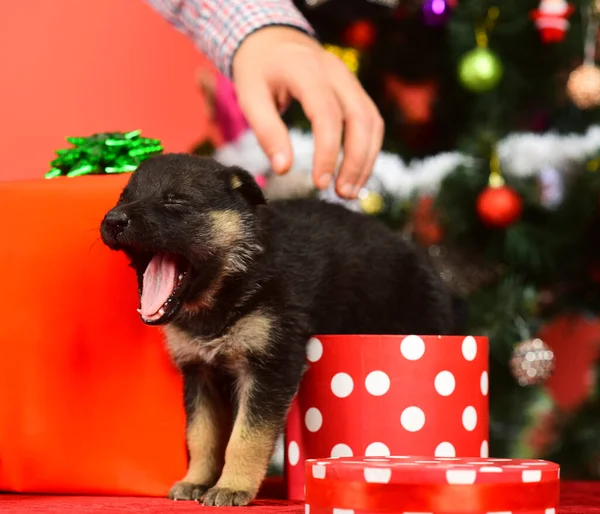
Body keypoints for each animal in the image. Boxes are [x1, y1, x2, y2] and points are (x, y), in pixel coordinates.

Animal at [99, 152, 454, 504]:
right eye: (123, 197)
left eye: (175, 200)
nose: (114, 220)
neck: (233, 279)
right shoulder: (200, 373)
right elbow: (202, 435)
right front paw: (196, 481)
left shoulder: (272, 365)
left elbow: (246, 435)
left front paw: (232, 486)